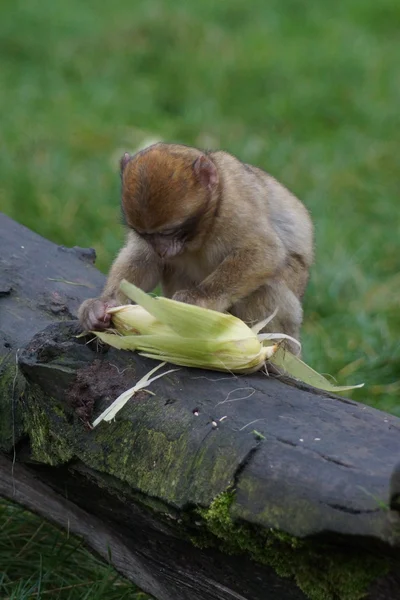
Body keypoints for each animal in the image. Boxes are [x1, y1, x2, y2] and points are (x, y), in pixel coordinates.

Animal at [78, 143, 314, 354]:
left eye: (169, 232)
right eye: (146, 235)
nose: (162, 250)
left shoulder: (235, 205)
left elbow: (264, 251)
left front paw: (199, 299)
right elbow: (143, 260)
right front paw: (102, 305)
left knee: (265, 288)